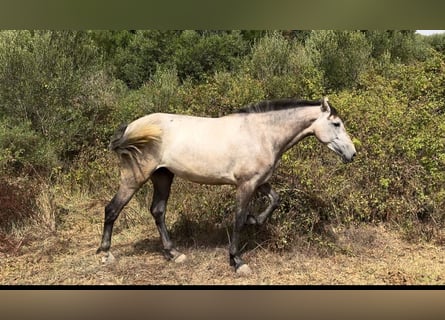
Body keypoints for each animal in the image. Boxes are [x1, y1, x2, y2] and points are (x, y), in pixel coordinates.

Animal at [95, 96, 356, 274]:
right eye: (336, 124)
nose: (352, 154)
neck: (261, 134)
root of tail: (131, 127)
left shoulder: (259, 181)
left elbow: (274, 200)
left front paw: (254, 220)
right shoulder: (246, 184)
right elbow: (238, 219)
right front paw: (237, 261)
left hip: (163, 176)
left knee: (158, 211)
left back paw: (174, 253)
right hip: (135, 177)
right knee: (112, 209)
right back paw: (105, 254)